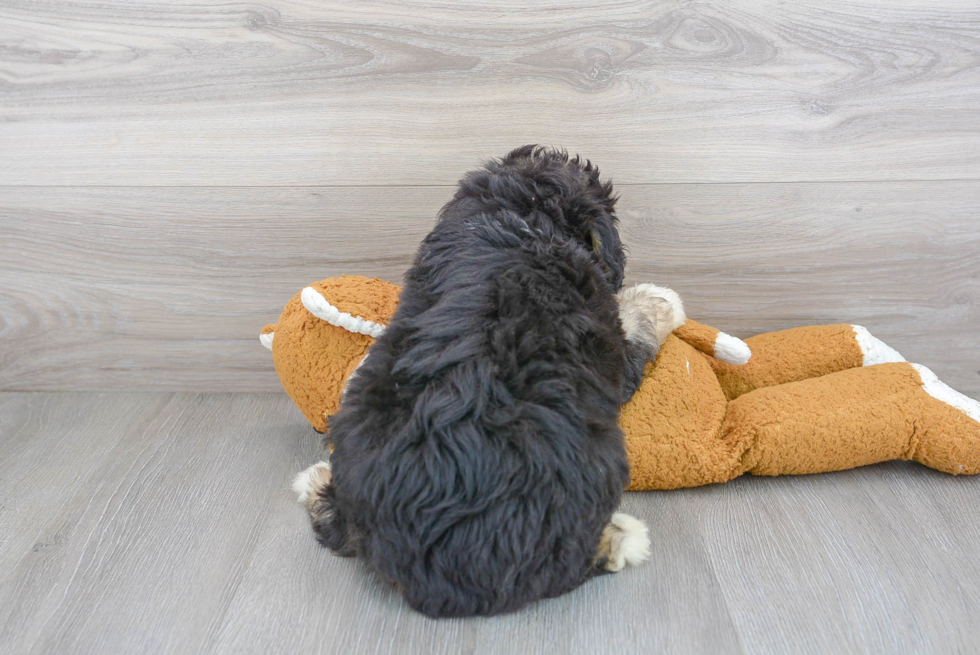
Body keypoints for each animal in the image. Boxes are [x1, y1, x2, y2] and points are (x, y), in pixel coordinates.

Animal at [296, 146, 668, 616]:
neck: (520, 218)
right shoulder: (611, 354)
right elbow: (635, 327)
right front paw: (659, 300)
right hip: (597, 465)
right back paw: (623, 539)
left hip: (359, 410)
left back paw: (316, 480)